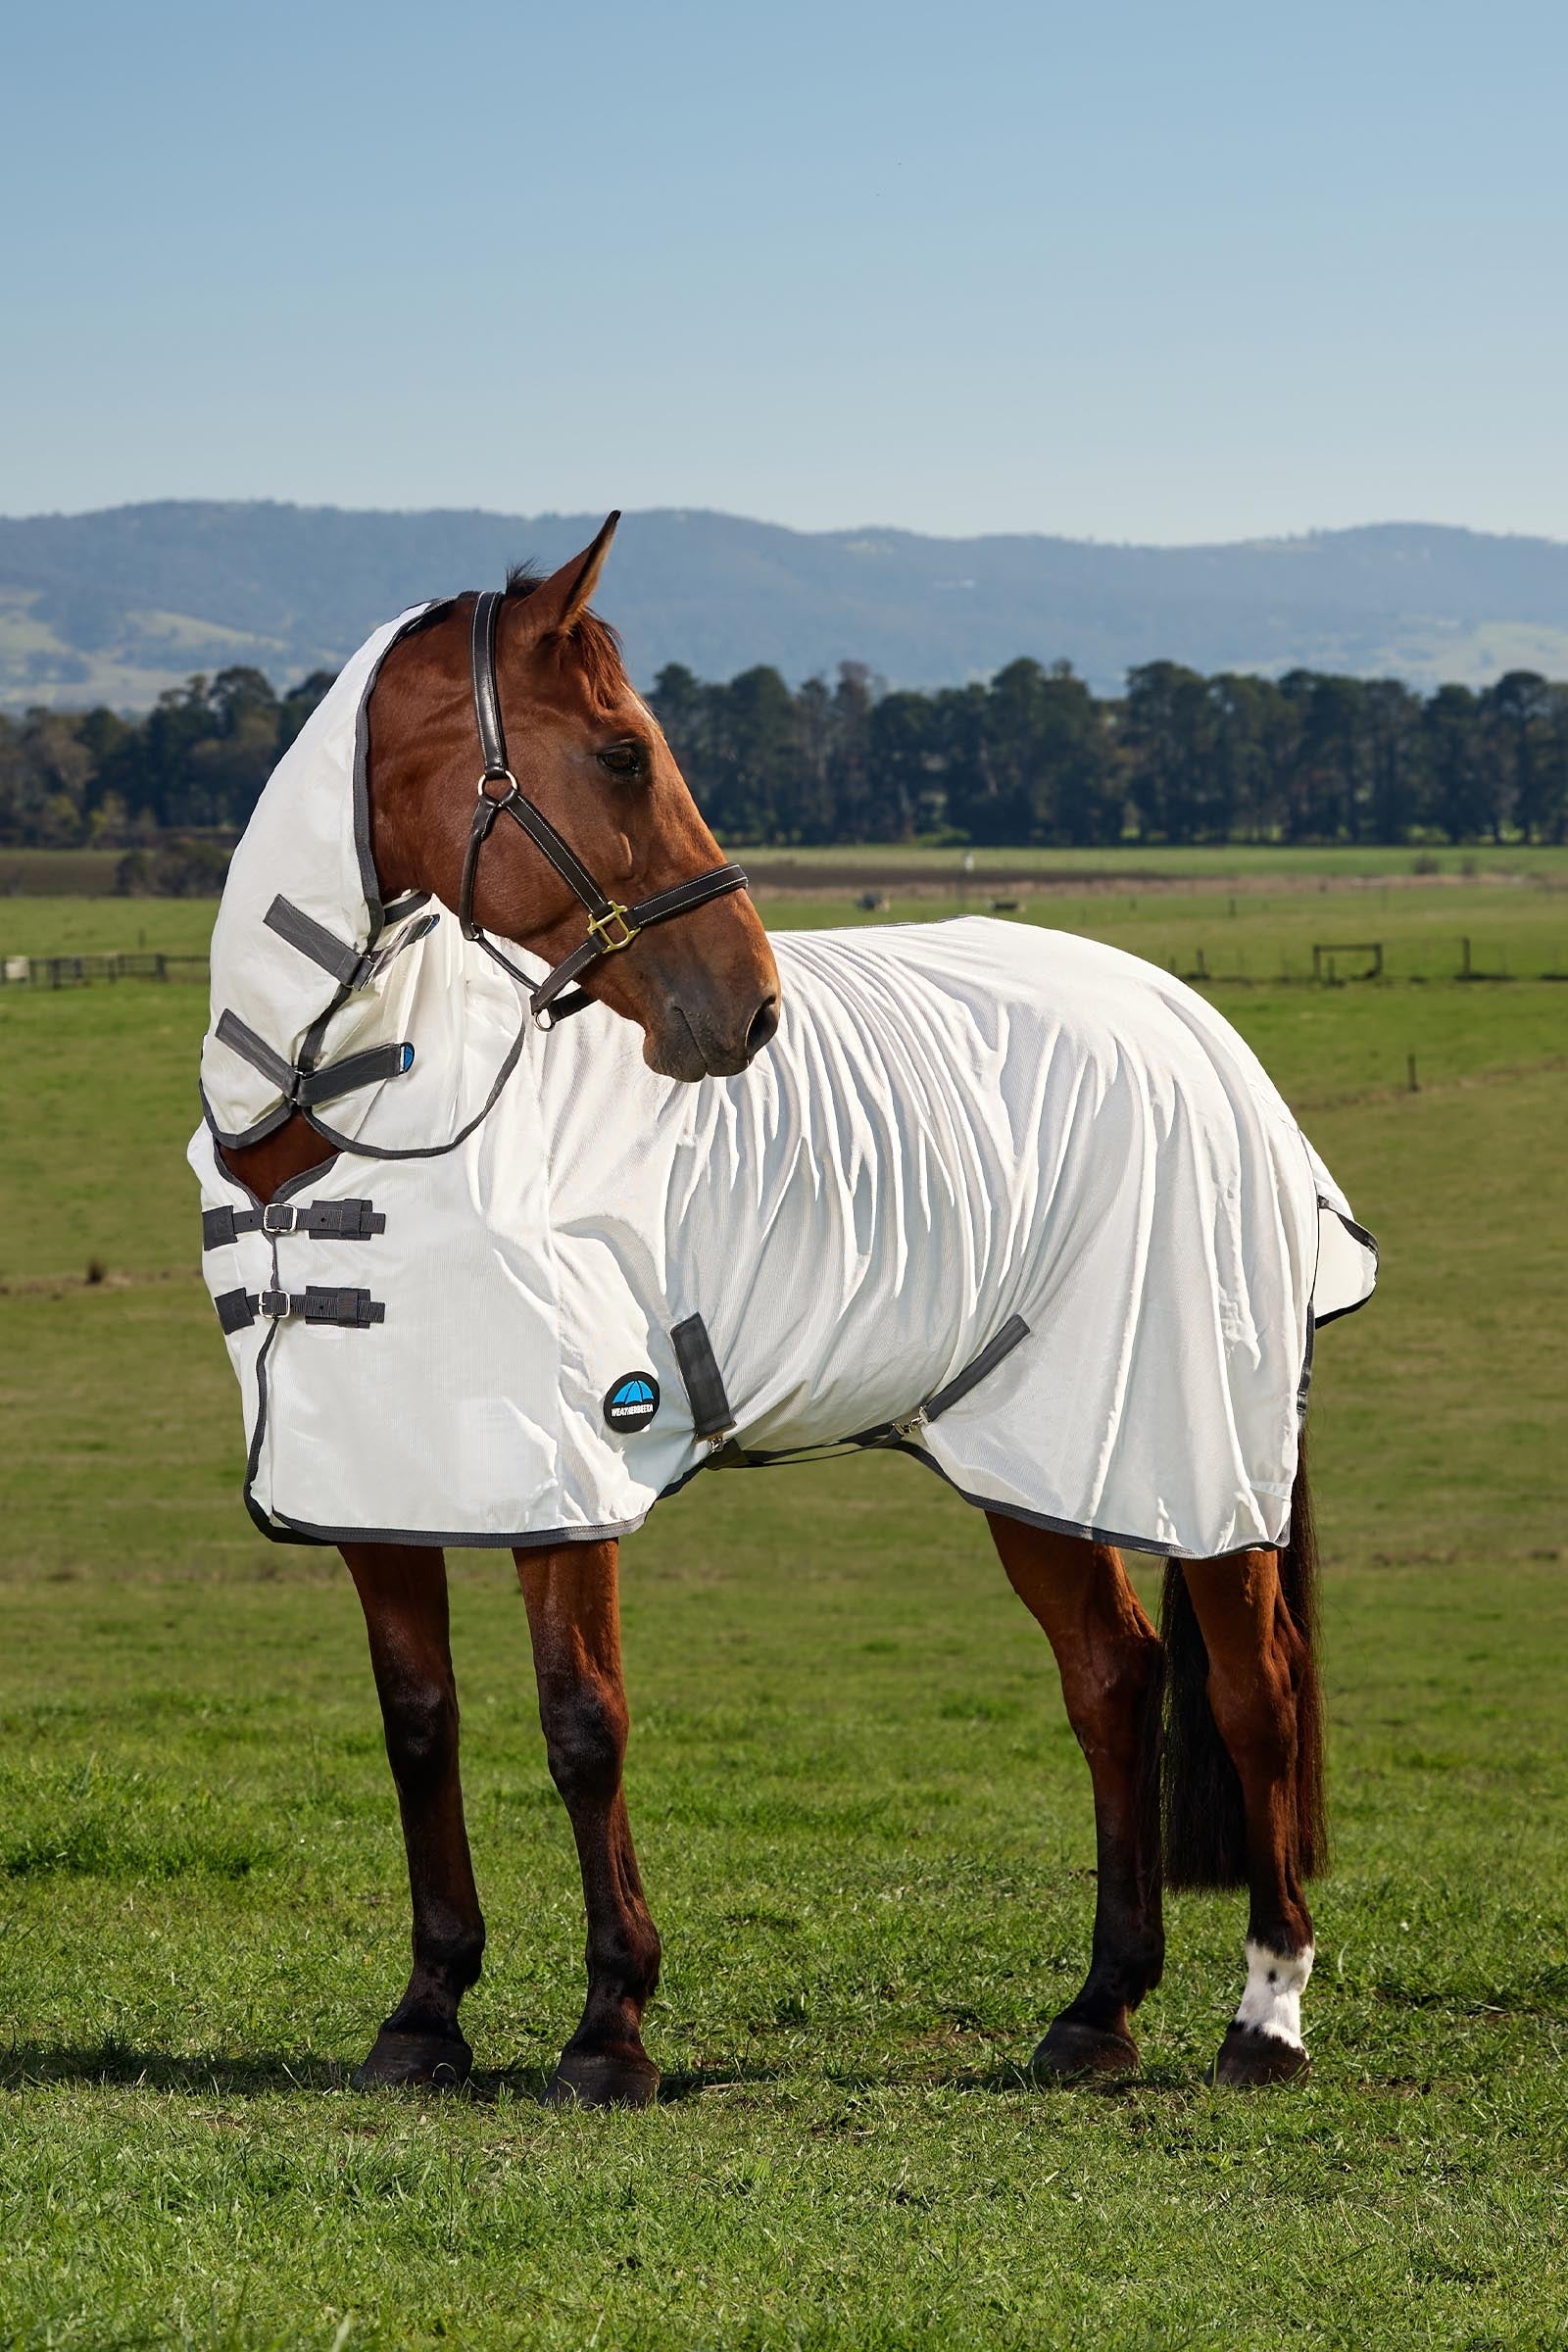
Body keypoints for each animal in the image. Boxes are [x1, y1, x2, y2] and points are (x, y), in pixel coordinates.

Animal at [212, 516, 1354, 2107]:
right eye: (623, 753)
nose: (749, 1009)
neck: (345, 1125)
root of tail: (1190, 1021)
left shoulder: (570, 1470)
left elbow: (583, 1726)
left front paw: (610, 2025)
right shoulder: (381, 1482)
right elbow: (418, 1727)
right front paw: (426, 2011)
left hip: (1196, 1453)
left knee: (1256, 1695)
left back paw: (1265, 2019)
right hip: (1041, 1449)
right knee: (1115, 1680)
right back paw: (1097, 2009)